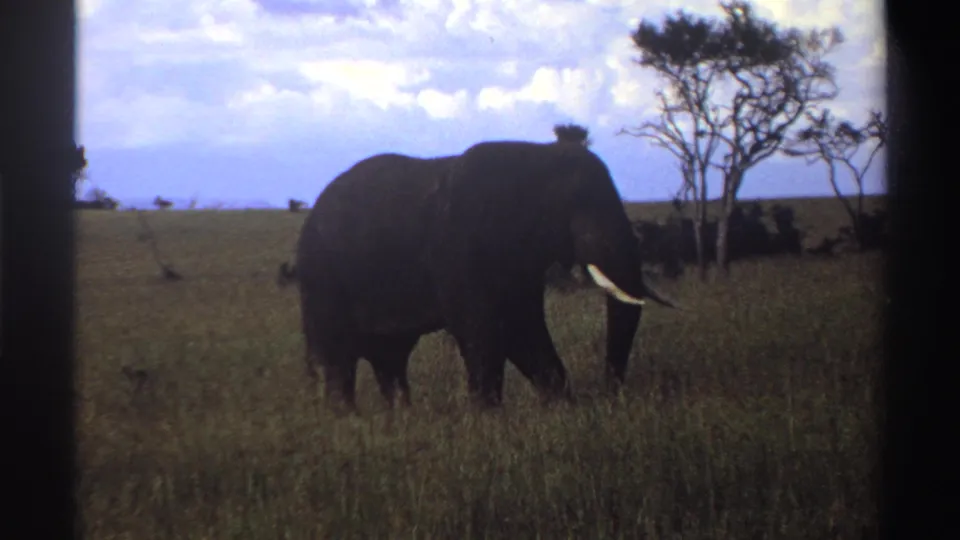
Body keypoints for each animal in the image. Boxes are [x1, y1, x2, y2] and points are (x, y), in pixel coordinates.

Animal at [292, 140, 678, 411]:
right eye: (578, 206)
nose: (612, 394)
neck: (536, 157)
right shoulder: (458, 247)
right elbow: (484, 330)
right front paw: (487, 418)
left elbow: (523, 330)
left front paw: (562, 409)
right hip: (321, 278)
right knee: (335, 357)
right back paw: (345, 419)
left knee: (389, 359)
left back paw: (399, 417)